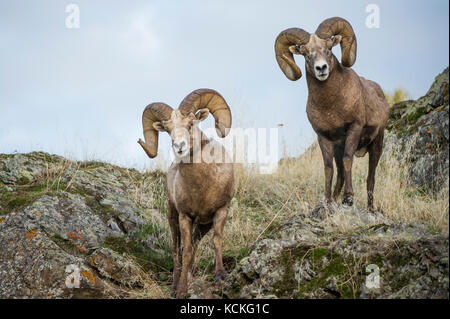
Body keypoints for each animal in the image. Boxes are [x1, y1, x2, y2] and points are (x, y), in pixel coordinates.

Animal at [138, 89, 236, 298]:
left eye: (191, 124)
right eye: (167, 130)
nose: (179, 146)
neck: (203, 187)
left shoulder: (220, 211)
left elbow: (216, 240)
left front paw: (220, 275)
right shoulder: (185, 217)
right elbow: (186, 251)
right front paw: (182, 290)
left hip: (203, 225)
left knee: (195, 244)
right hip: (173, 217)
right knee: (177, 250)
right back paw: (175, 286)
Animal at [274, 18, 390, 212]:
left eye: (328, 49)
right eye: (306, 54)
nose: (321, 68)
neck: (331, 105)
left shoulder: (354, 129)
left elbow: (348, 159)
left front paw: (349, 198)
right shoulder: (324, 137)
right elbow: (328, 169)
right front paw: (328, 201)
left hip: (376, 144)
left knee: (370, 178)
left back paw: (370, 208)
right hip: (339, 148)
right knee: (341, 173)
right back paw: (335, 199)